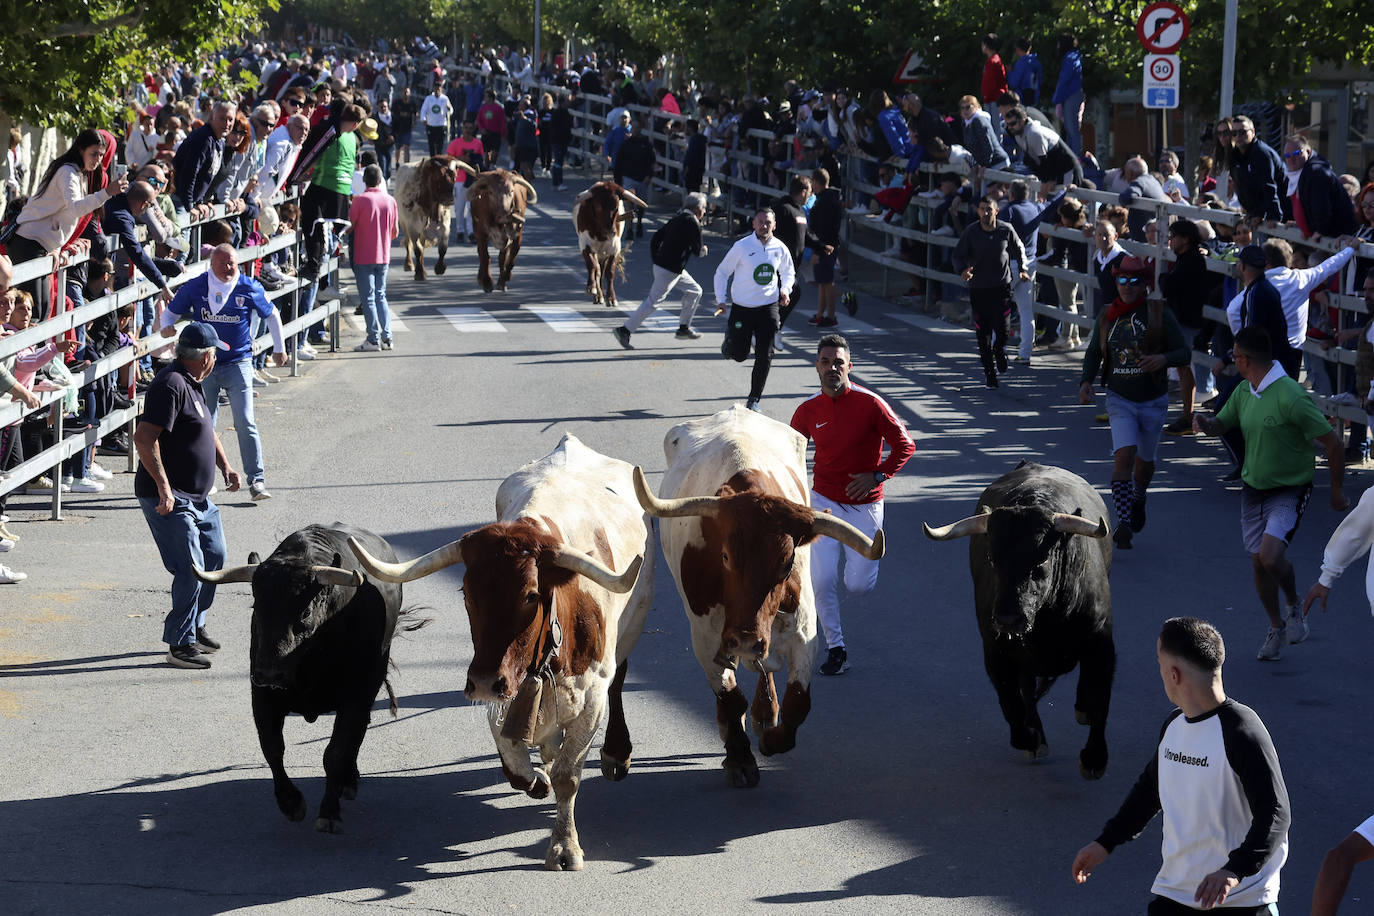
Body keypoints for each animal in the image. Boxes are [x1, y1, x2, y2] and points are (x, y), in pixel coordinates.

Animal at [193, 521, 425, 829]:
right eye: (257, 607)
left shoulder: (356, 695)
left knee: (358, 731)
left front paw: (329, 811)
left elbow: (335, 752)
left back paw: (348, 781)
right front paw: (291, 803)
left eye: (304, 612)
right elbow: (272, 747)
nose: (270, 672)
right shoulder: (262, 696)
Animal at [346, 436, 651, 873]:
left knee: (620, 681)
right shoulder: (502, 690)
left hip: (631, 628)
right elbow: (517, 763)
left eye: (531, 595)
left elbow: (569, 775)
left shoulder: (591, 695)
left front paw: (564, 846)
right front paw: (536, 778)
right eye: (466, 592)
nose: (485, 682)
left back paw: (615, 754)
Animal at [629, 406, 879, 791]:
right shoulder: (706, 639)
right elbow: (731, 698)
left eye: (787, 562)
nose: (746, 639)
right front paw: (740, 758)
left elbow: (798, 702)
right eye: (725, 556)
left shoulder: (803, 633)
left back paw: (765, 712)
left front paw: (772, 738)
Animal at [923, 461, 1115, 780]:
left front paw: (1094, 759)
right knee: (1024, 691)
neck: (1047, 621)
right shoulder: (995, 650)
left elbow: (1100, 696)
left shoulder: (1101, 642)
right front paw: (1029, 739)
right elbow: (1010, 700)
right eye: (992, 558)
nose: (1008, 618)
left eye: (1042, 559)